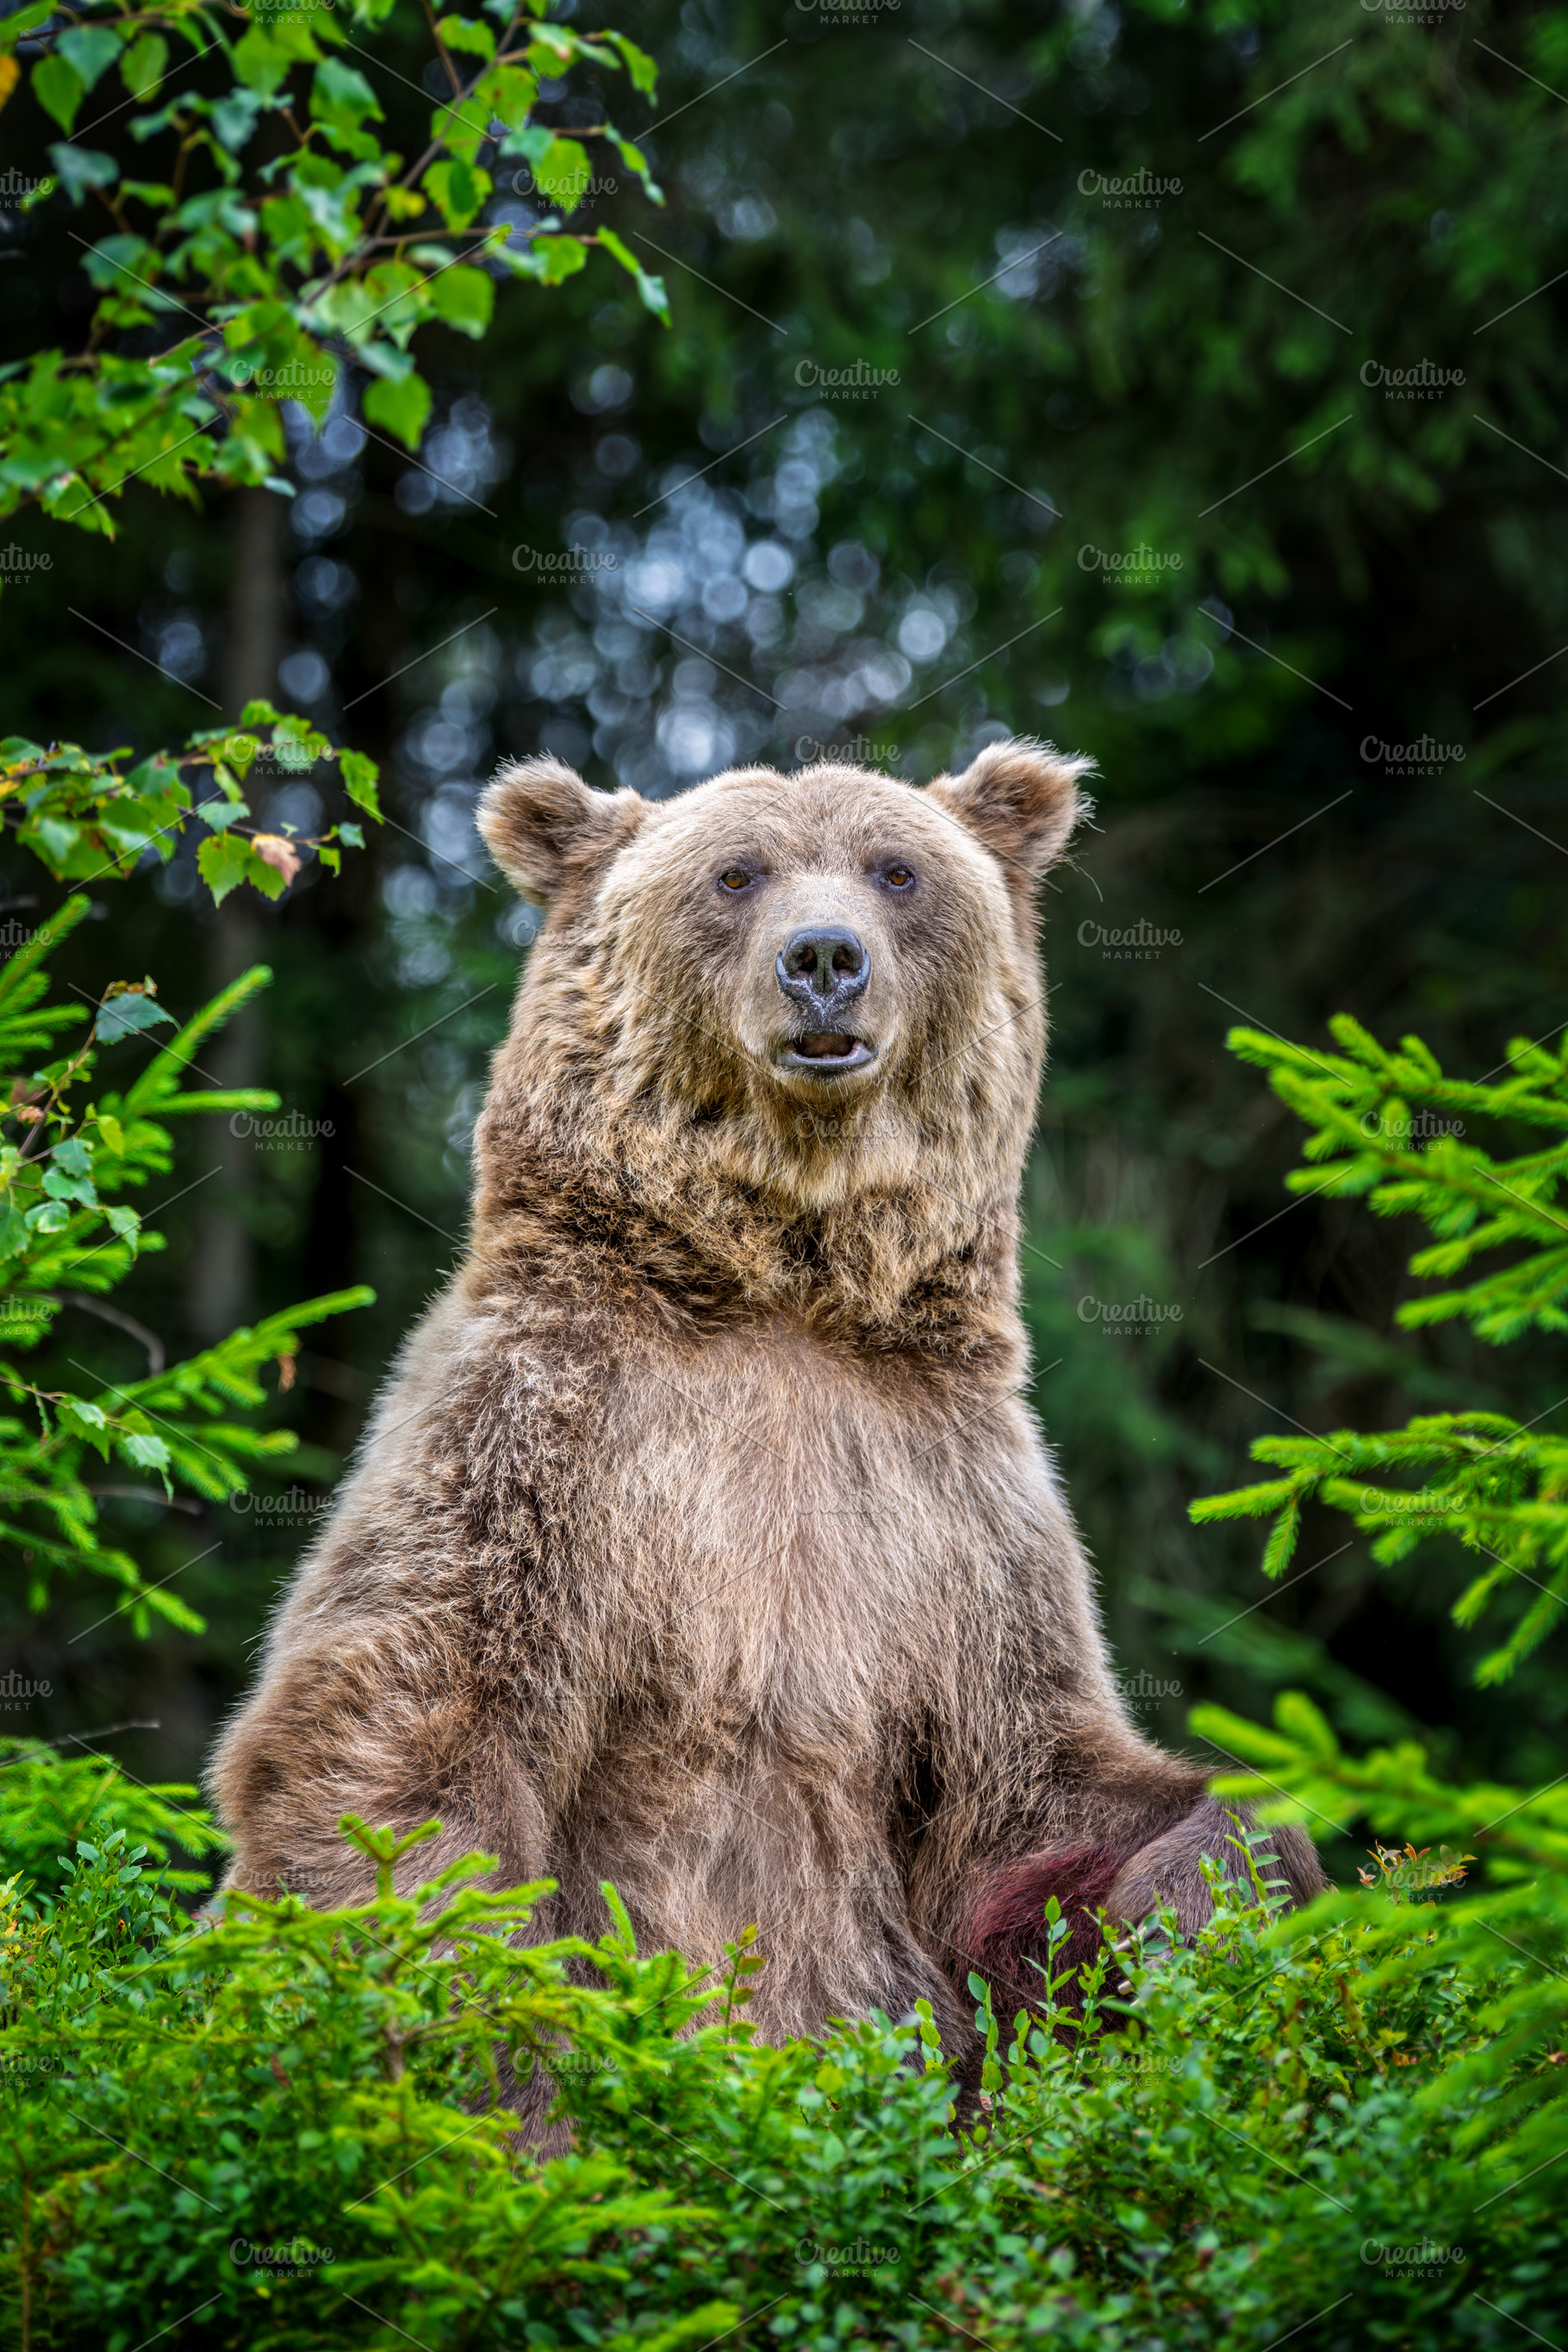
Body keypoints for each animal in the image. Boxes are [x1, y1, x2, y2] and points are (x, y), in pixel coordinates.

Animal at [210, 737, 1324, 2062]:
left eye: (895, 870)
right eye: (736, 873)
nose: (825, 959)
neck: (783, 1289)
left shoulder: (953, 1508)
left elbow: (1041, 1789)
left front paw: (1200, 1904)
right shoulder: (536, 1433)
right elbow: (410, 1731)